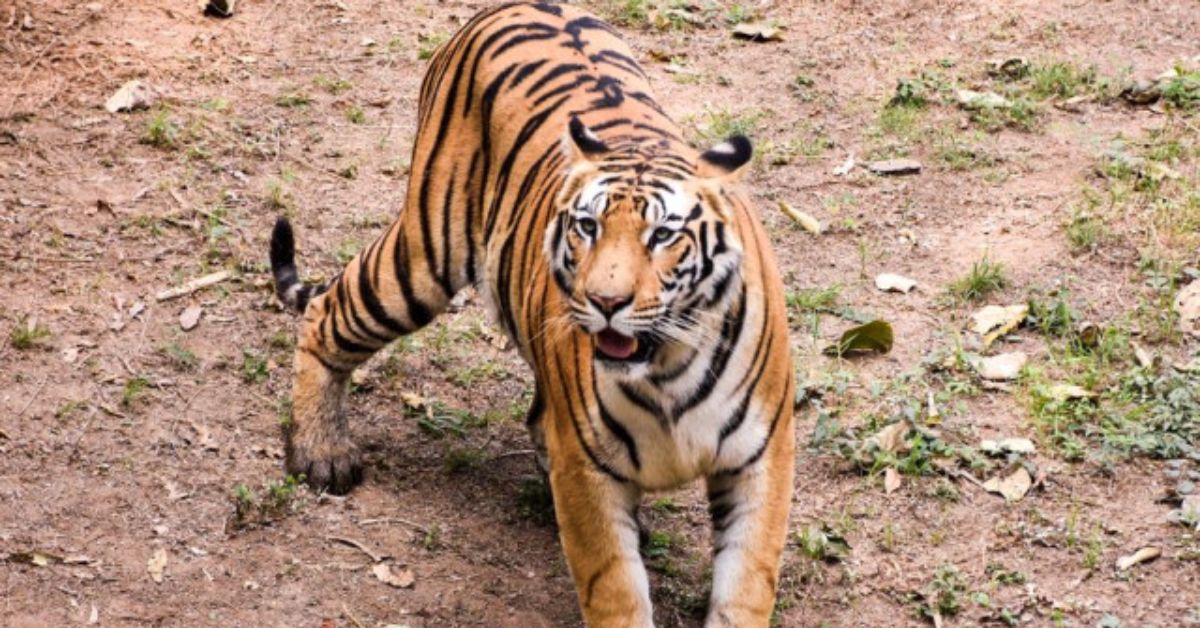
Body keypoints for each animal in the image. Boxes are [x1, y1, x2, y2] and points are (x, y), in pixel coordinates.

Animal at [268, 2, 796, 626]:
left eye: (663, 236)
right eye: (588, 226)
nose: (606, 303)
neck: (667, 367)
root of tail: (512, 6)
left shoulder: (760, 461)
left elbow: (747, 582)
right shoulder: (587, 470)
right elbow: (615, 587)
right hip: (424, 253)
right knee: (328, 312)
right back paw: (321, 454)